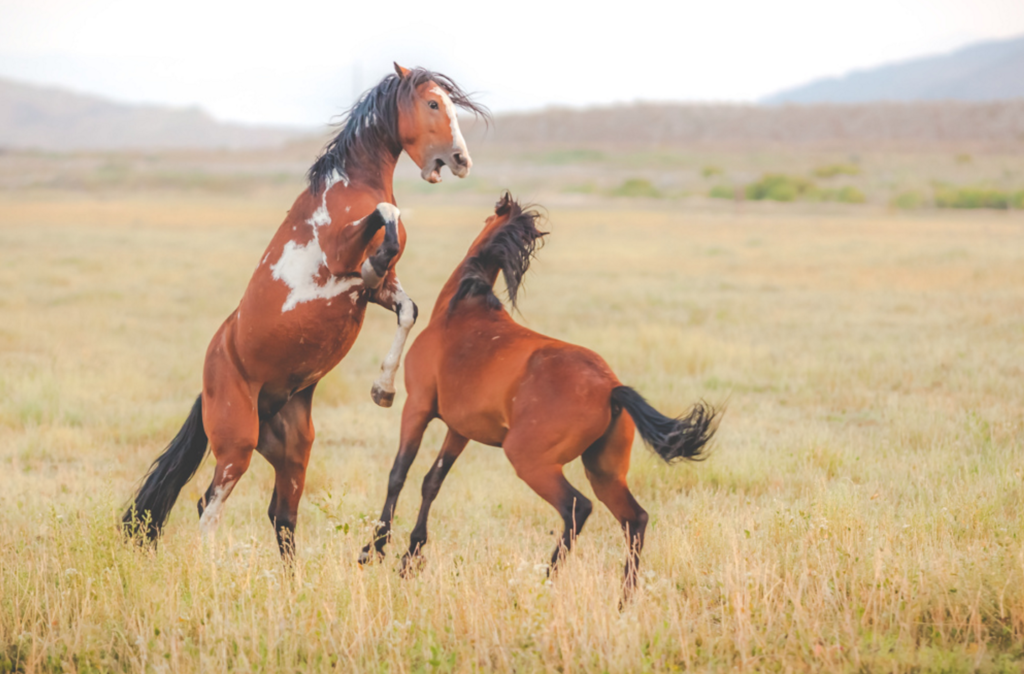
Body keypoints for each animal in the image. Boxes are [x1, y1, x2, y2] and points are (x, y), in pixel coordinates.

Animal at [121, 64, 489, 557]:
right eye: (432, 103)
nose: (460, 159)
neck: (350, 187)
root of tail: (210, 380)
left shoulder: (382, 293)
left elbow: (408, 309)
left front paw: (383, 389)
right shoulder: (340, 258)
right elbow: (385, 217)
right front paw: (372, 261)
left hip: (293, 451)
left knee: (282, 517)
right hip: (236, 443)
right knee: (208, 507)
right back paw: (211, 567)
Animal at [360, 192, 720, 598]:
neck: (460, 311)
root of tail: (610, 388)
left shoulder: (418, 406)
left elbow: (399, 473)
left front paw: (376, 547)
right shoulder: (460, 430)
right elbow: (431, 483)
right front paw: (410, 557)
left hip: (532, 463)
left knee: (577, 509)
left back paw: (546, 581)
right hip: (605, 471)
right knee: (635, 520)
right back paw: (624, 599)